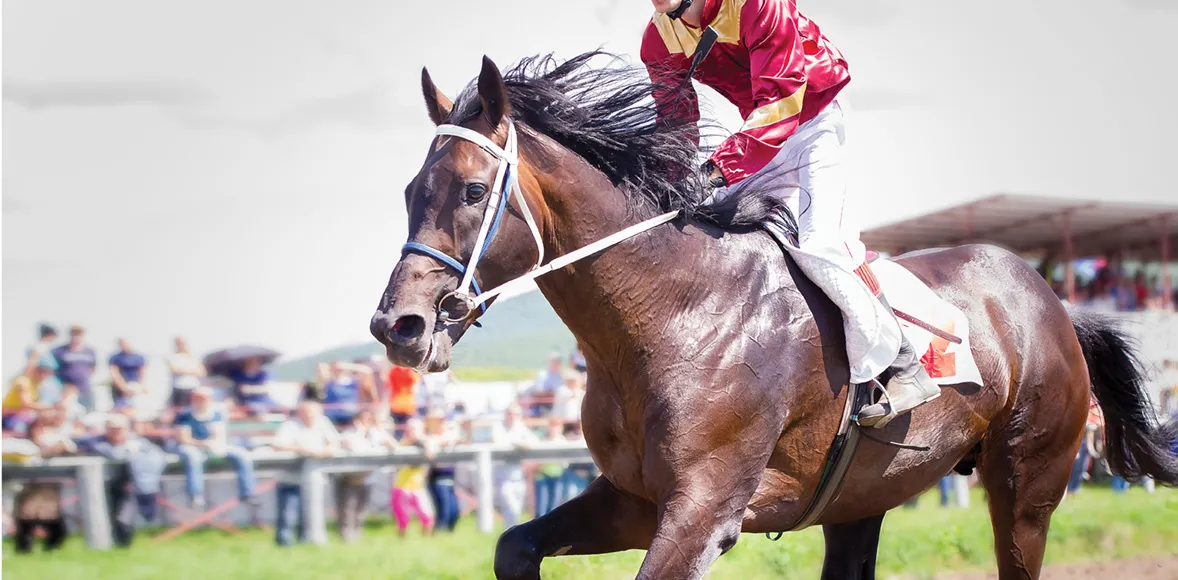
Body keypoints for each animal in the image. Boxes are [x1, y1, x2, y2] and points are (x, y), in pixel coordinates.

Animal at [369, 50, 1178, 580]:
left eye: (473, 191)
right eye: (409, 190)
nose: (398, 327)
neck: (671, 313)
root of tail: (1053, 301)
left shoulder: (704, 511)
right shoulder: (635, 498)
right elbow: (514, 547)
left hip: (1027, 485)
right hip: (864, 495)